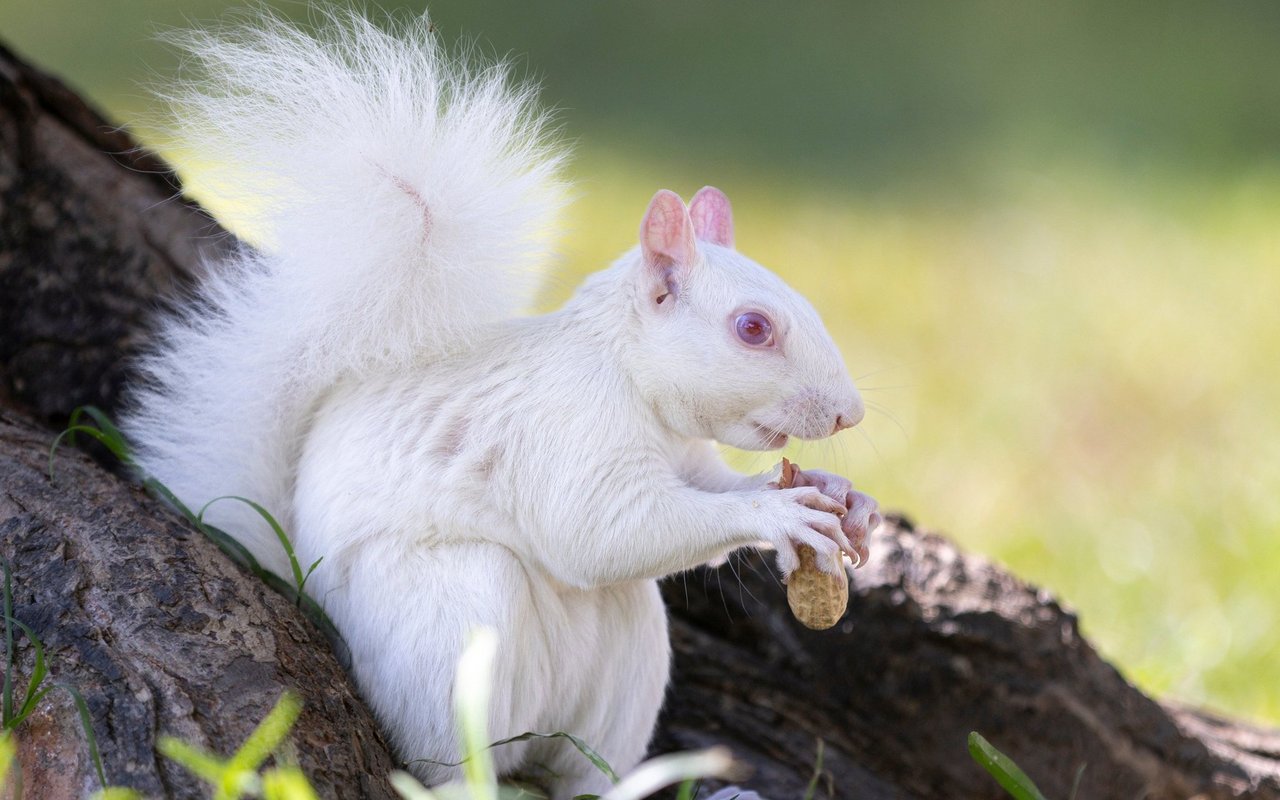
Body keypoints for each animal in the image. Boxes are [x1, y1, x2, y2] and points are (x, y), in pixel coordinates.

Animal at [122, 7, 880, 798]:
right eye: (753, 328)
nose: (849, 414)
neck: (630, 380)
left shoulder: (688, 456)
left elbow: (707, 488)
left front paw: (841, 496)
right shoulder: (567, 425)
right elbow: (599, 531)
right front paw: (778, 512)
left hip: (622, 665)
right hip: (449, 622)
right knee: (446, 758)